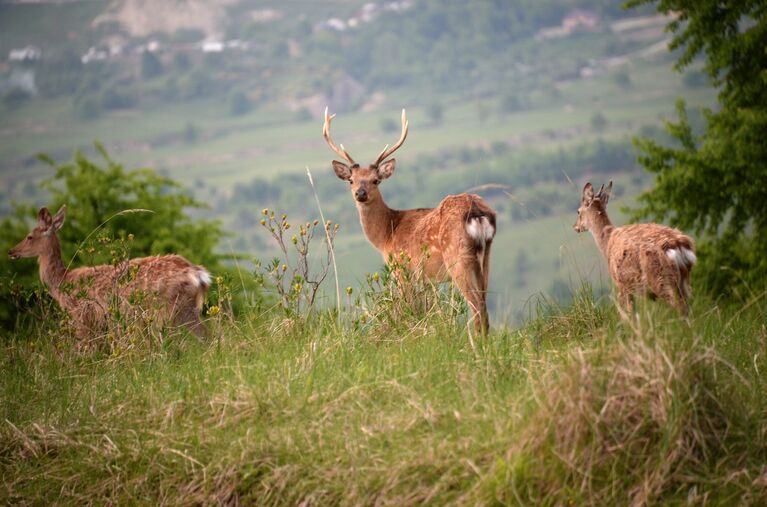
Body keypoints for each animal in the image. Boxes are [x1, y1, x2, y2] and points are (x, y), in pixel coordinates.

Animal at [9, 204, 213, 340]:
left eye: (29, 237)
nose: (11, 251)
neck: (62, 281)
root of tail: (197, 273)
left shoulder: (82, 314)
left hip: (169, 308)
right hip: (185, 308)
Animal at [324, 108, 498, 334]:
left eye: (375, 180)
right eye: (351, 180)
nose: (360, 193)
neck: (387, 235)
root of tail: (477, 212)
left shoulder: (402, 269)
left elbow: (408, 309)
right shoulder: (424, 278)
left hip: (457, 255)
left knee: (476, 306)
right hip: (486, 255)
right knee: (484, 306)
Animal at [572, 182, 700, 318]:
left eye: (578, 211)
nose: (575, 226)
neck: (607, 244)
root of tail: (679, 245)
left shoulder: (621, 284)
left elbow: (629, 314)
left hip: (661, 278)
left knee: (679, 307)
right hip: (684, 280)